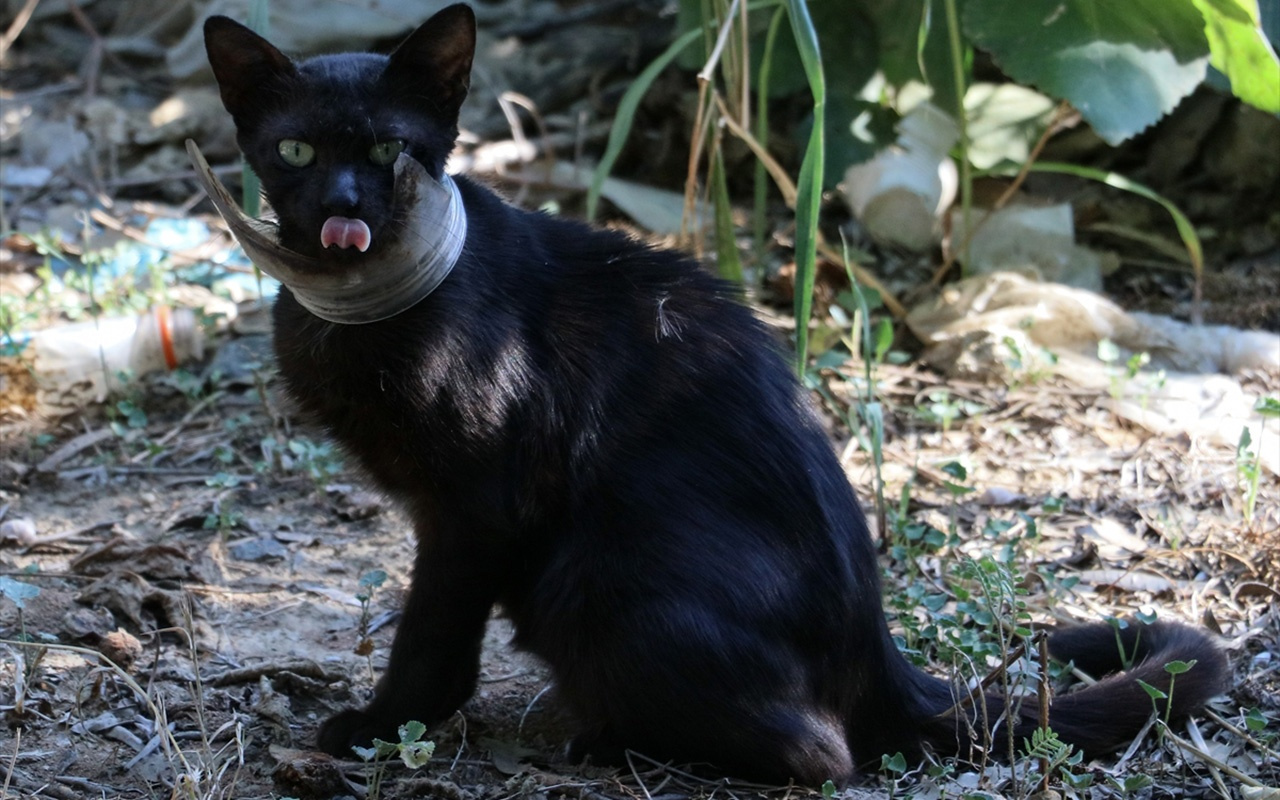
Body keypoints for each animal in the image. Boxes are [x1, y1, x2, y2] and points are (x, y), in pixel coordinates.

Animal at [202, 4, 1228, 778]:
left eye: (388, 150)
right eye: (295, 152)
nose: (342, 209)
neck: (359, 314)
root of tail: (882, 655)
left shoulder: (473, 505)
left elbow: (431, 633)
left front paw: (384, 727)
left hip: (592, 579)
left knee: (824, 755)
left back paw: (609, 745)